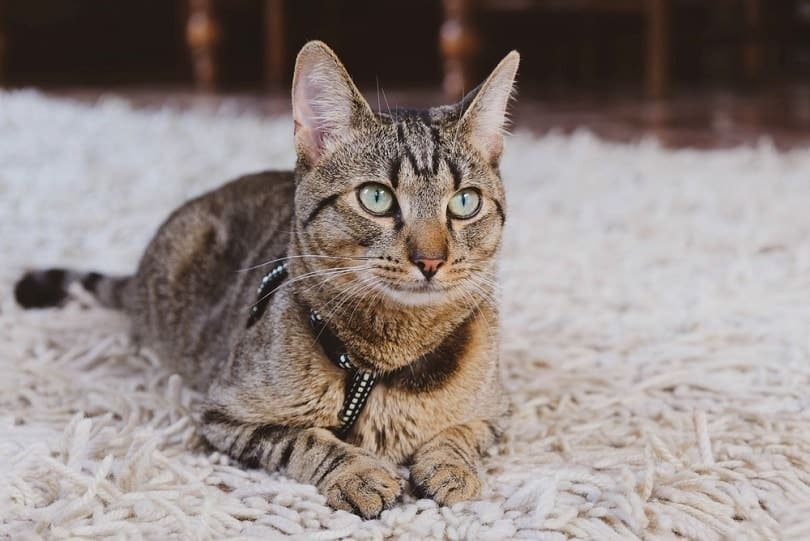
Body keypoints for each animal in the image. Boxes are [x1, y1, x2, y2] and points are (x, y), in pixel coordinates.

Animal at [15, 40, 516, 516]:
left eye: (465, 203)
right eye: (376, 197)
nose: (430, 260)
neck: (389, 358)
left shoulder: (496, 412)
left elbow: (460, 434)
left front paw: (449, 466)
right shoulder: (227, 415)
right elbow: (306, 439)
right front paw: (358, 474)